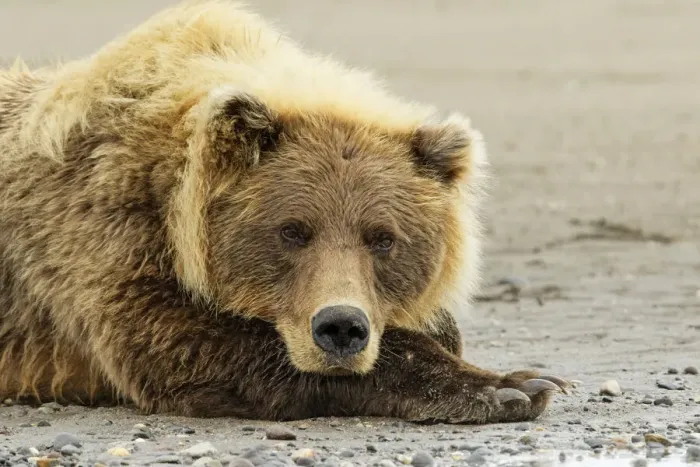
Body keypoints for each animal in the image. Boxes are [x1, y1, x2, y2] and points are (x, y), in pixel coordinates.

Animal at [0, 0, 573, 423]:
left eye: (382, 237)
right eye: (293, 231)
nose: (341, 327)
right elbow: (177, 343)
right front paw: (510, 388)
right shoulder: (103, 232)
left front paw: (525, 377)